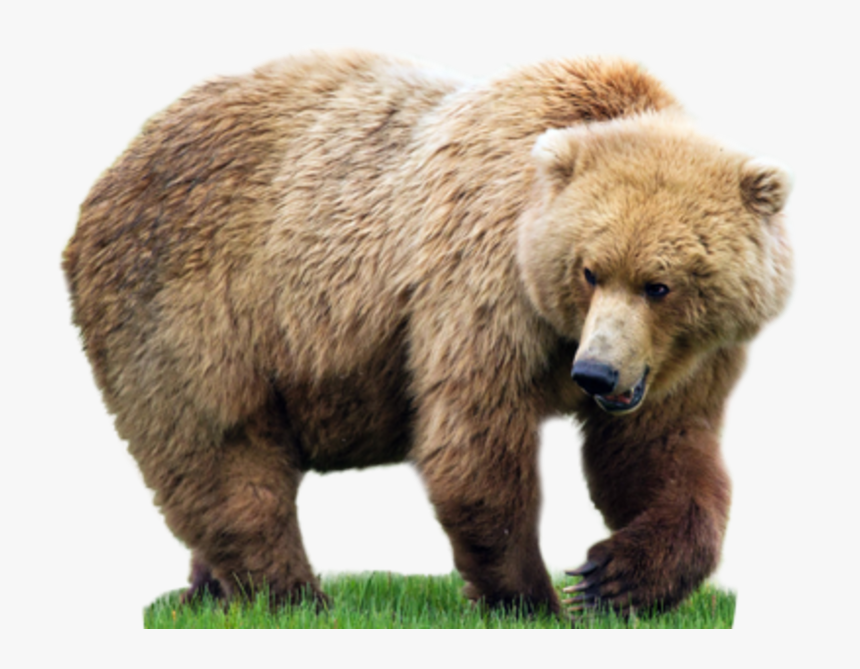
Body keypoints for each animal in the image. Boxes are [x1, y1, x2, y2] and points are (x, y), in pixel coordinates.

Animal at [62, 51, 792, 617]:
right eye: (589, 271)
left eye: (659, 284)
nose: (596, 375)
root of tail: (116, 166)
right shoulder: (480, 284)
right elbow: (474, 440)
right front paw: (533, 598)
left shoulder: (683, 358)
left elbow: (659, 451)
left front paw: (613, 578)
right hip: (192, 300)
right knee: (223, 450)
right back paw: (294, 594)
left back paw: (208, 589)